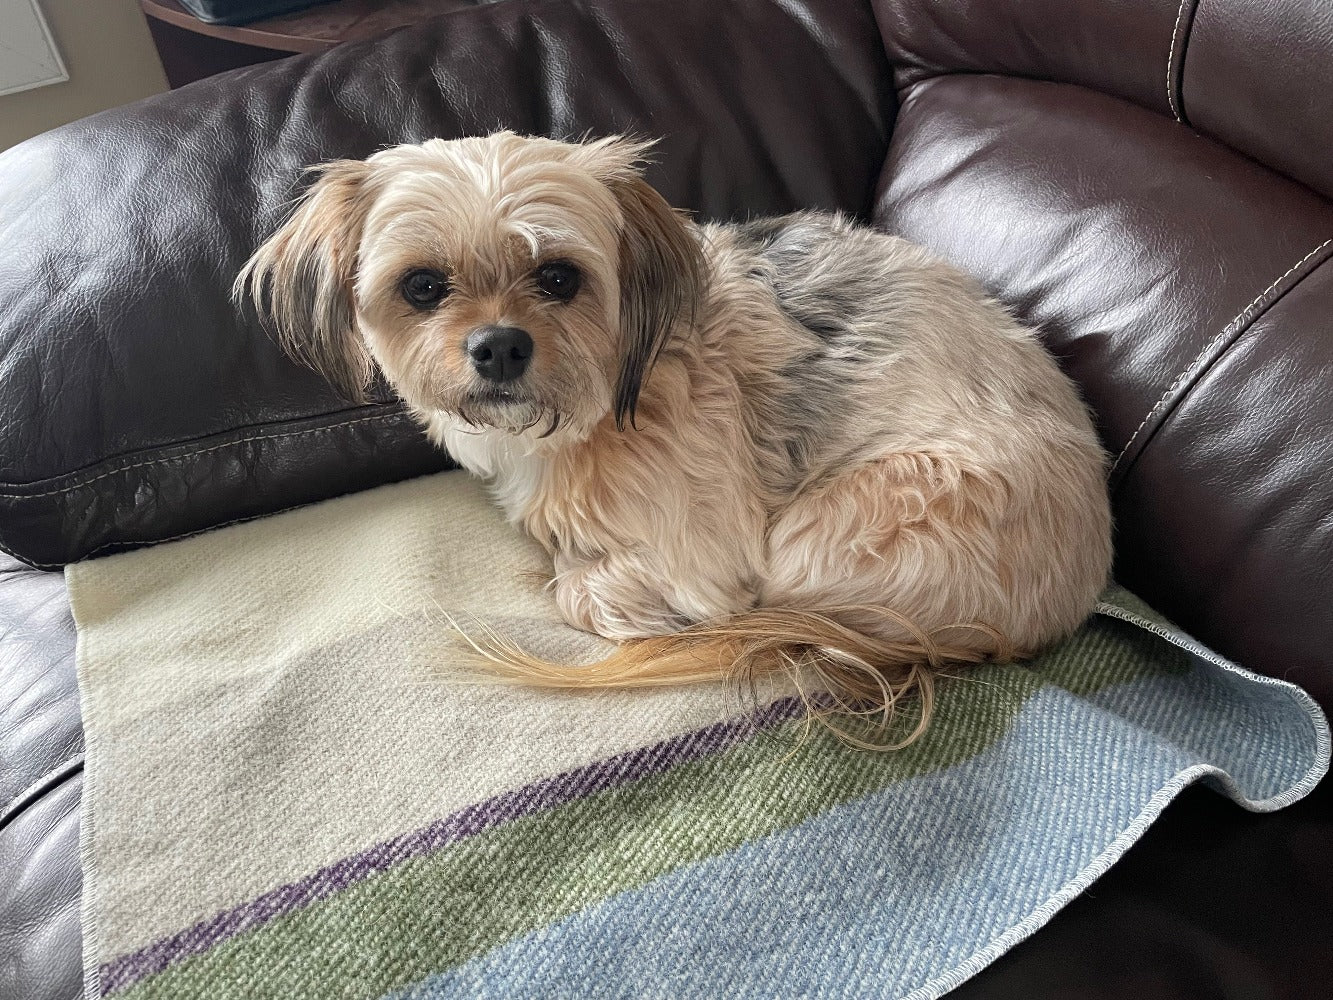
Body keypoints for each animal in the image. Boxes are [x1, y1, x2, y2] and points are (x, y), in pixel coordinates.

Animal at [239, 133, 1114, 746]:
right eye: (423, 286)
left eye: (559, 277)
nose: (499, 346)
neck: (600, 407)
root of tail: (1063, 608)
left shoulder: (702, 560)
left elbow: (585, 587)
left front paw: (589, 582)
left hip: (842, 528)